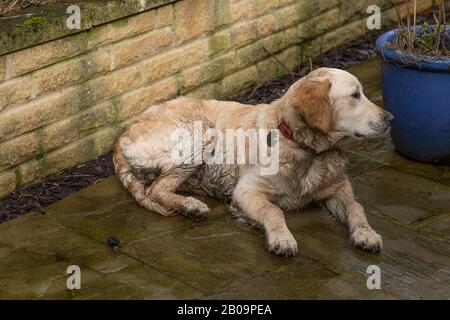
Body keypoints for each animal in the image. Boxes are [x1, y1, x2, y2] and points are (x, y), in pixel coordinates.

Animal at [114, 67, 392, 258]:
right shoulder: (247, 190)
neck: (305, 149)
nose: (390, 118)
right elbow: (274, 210)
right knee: (157, 189)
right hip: (201, 130)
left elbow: (356, 207)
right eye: (355, 95)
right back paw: (192, 206)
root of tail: (121, 137)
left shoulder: (338, 189)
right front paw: (282, 239)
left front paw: (366, 234)